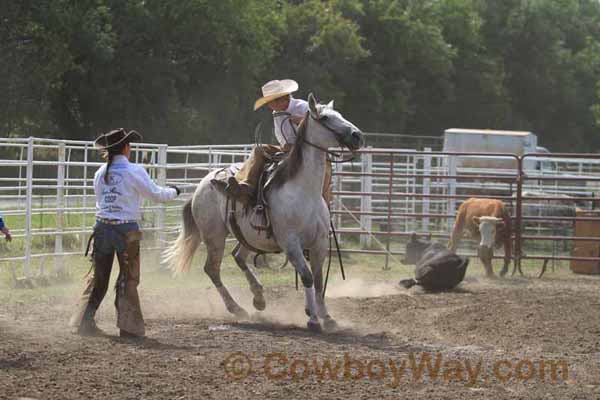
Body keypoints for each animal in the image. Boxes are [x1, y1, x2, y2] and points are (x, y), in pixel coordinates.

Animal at [162, 94, 364, 332]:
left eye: (339, 114)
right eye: (324, 118)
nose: (357, 136)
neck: (305, 191)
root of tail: (201, 185)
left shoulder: (320, 243)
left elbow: (318, 279)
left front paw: (326, 317)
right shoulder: (290, 243)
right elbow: (306, 277)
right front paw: (313, 319)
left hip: (248, 236)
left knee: (238, 256)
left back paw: (258, 298)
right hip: (214, 236)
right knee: (212, 269)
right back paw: (237, 308)